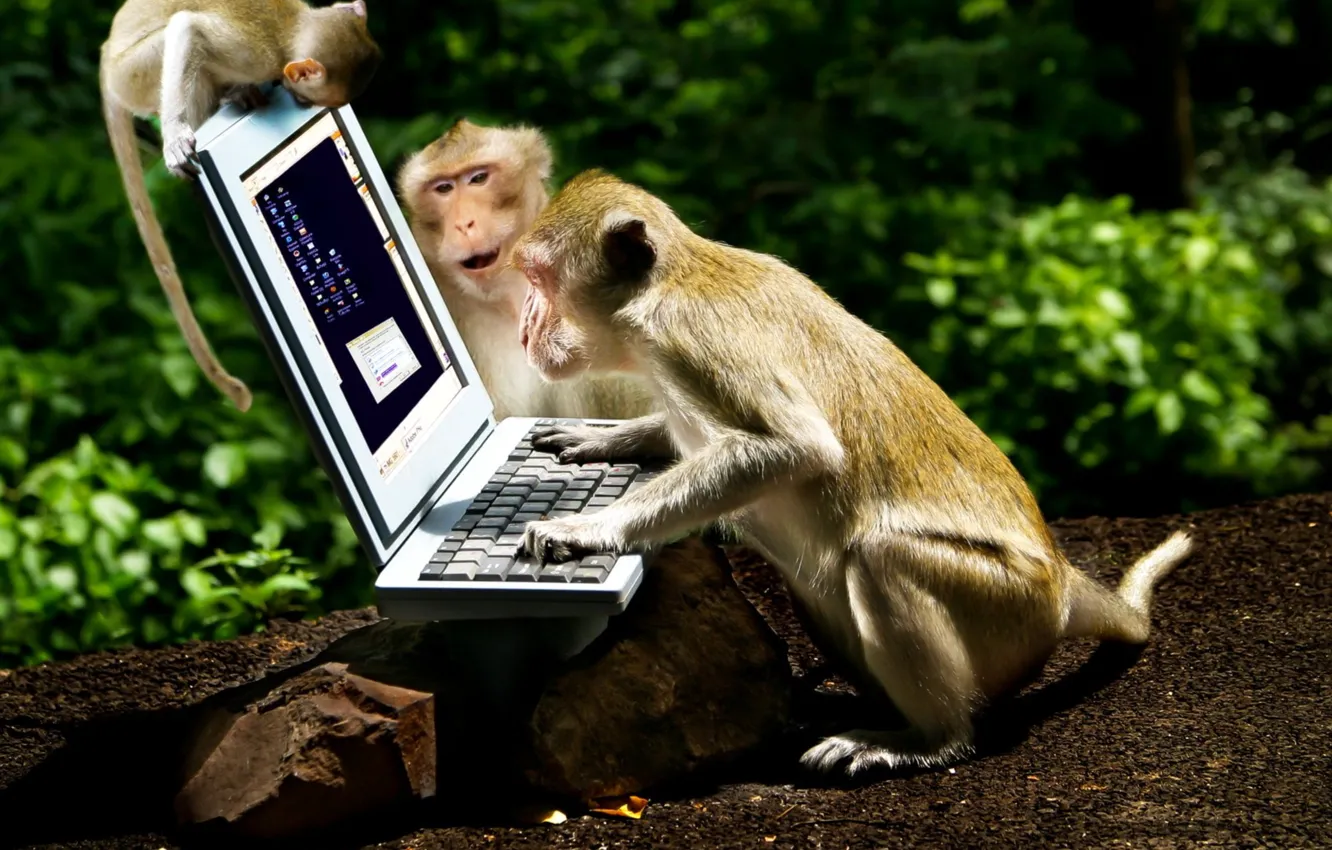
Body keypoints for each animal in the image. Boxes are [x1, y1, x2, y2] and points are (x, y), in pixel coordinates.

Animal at [100, 0, 383, 411]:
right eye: (312, 100)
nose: (303, 104)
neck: (290, 33)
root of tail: (107, 55)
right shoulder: (255, 55)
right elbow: (188, 31)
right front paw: (175, 135)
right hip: (133, 74)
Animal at [507, 168, 1196, 777]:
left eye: (538, 278)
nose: (524, 325)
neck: (667, 285)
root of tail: (1061, 580)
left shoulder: (688, 339)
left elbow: (794, 447)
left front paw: (589, 529)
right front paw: (606, 439)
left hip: (1006, 606)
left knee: (881, 556)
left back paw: (928, 739)